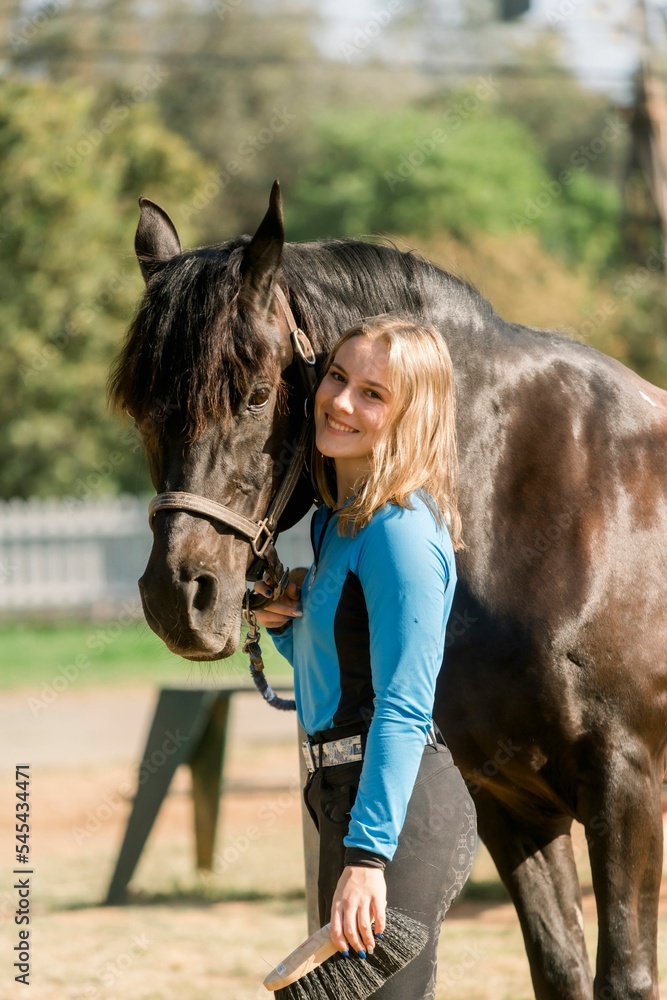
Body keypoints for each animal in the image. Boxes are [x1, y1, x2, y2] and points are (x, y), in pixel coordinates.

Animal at [110, 181, 667, 1000]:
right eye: (143, 406)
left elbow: (623, 977)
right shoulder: (510, 806)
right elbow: (559, 967)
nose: (180, 597)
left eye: (255, 394)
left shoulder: (625, 788)